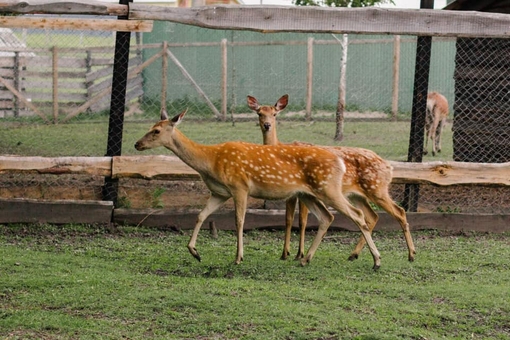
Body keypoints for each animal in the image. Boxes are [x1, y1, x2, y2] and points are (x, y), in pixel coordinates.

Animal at [133, 108, 384, 268]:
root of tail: (340, 162)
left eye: (156, 131)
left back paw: (376, 261)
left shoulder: (240, 186)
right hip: (308, 193)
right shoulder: (219, 192)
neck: (210, 162)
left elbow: (239, 221)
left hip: (328, 188)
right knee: (327, 217)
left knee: (357, 214)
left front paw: (238, 258)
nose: (137, 143)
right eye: (150, 127)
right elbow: (200, 215)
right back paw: (305, 259)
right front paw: (194, 252)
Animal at [249, 94, 416, 264]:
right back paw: (354, 254)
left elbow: (301, 220)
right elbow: (289, 219)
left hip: (377, 189)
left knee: (399, 212)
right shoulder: (295, 193)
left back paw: (411, 254)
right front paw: (287, 253)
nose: (267, 125)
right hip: (357, 195)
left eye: (275, 114)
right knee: (372, 216)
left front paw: (297, 254)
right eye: (259, 113)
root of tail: (389, 166)